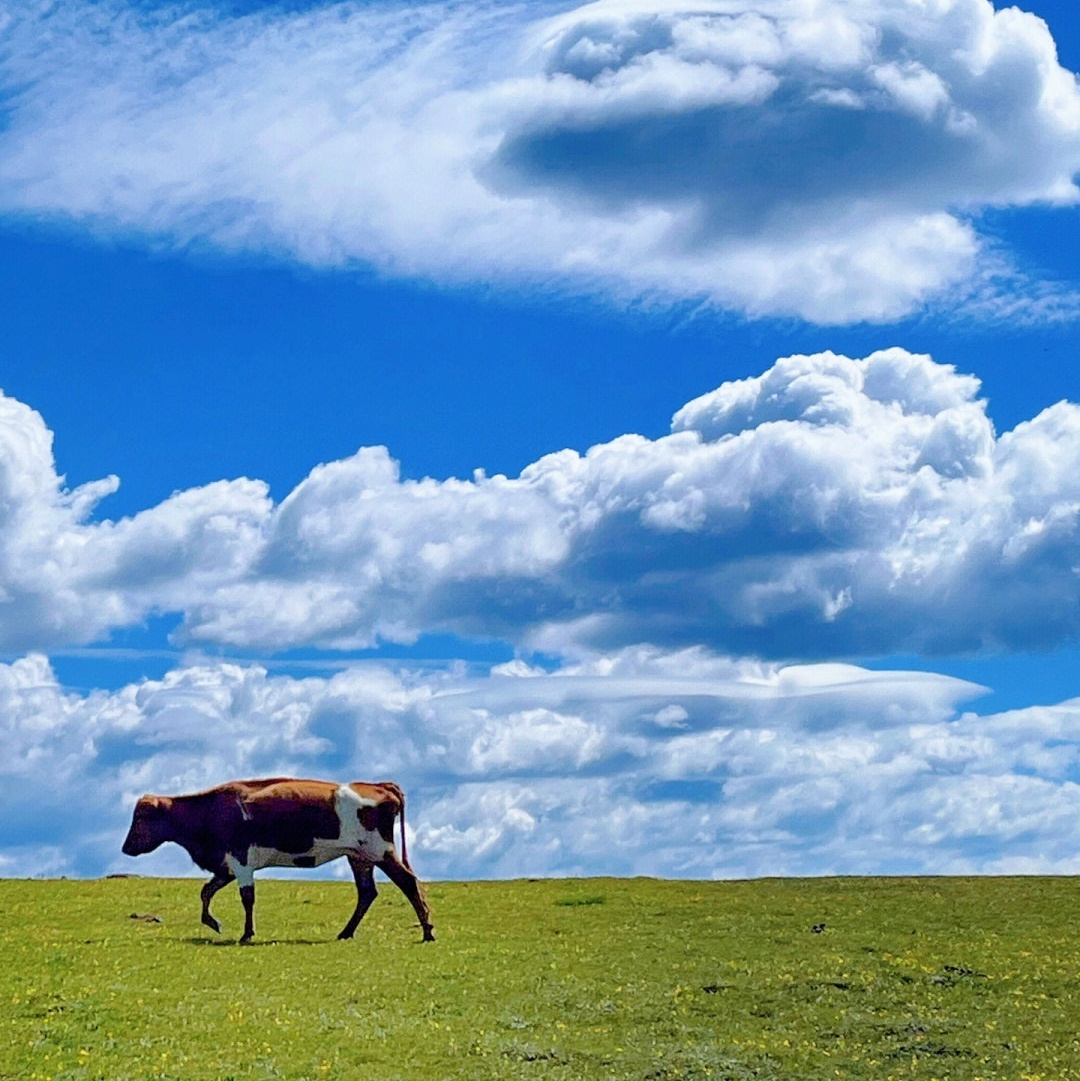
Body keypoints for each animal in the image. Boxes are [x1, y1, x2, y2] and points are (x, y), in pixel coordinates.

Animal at [121, 778, 434, 946]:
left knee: (408, 883)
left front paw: (246, 933)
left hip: (380, 851)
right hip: (359, 858)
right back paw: (346, 932)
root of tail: (379, 786)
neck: (209, 810)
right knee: (367, 893)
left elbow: (247, 898)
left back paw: (428, 931)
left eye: (141, 817)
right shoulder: (226, 866)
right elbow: (206, 892)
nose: (125, 848)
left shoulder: (240, 860)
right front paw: (213, 922)